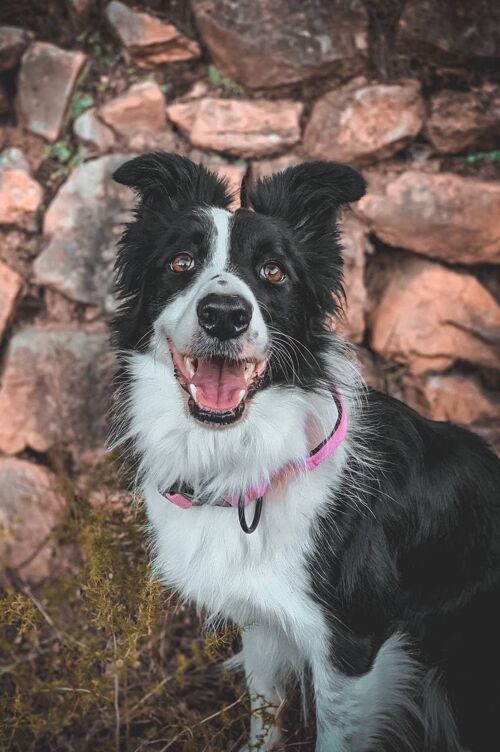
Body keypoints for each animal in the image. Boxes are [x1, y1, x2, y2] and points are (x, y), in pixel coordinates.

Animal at [111, 154, 500, 752]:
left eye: (274, 272)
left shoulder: (352, 648)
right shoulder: (263, 618)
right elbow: (264, 712)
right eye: (182, 262)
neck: (244, 458)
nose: (224, 314)